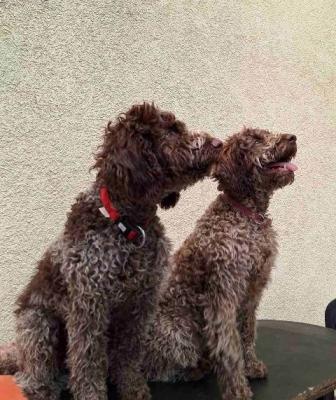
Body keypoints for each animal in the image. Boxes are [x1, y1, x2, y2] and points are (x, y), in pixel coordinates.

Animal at [3, 102, 223, 400]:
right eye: (172, 131)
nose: (219, 143)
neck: (129, 224)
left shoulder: (140, 303)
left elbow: (129, 353)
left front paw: (132, 388)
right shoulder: (89, 304)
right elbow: (87, 359)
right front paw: (91, 395)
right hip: (37, 323)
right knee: (30, 372)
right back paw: (42, 387)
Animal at [141, 129, 296, 400]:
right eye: (256, 138)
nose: (293, 138)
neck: (246, 216)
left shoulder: (251, 292)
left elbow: (246, 332)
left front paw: (251, 366)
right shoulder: (222, 295)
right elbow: (229, 347)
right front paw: (238, 389)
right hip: (178, 332)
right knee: (156, 369)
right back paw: (193, 370)